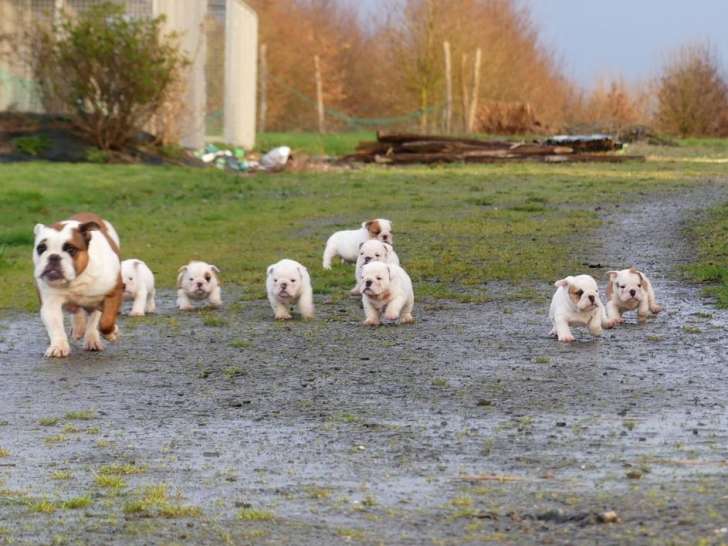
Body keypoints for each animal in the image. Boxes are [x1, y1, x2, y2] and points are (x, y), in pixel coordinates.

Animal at [32, 210, 123, 354]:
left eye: (71, 249)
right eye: (41, 248)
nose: (54, 257)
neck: (77, 278)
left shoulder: (113, 292)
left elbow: (106, 322)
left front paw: (111, 333)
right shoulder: (50, 303)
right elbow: (55, 325)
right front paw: (58, 347)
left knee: (93, 319)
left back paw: (92, 339)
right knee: (77, 310)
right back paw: (79, 328)